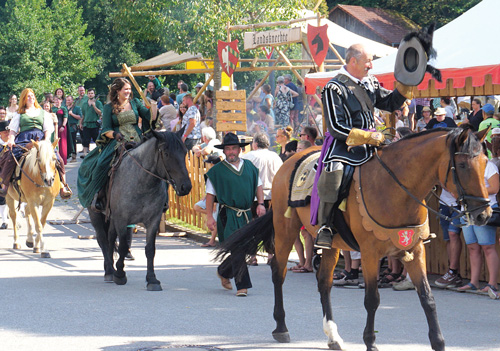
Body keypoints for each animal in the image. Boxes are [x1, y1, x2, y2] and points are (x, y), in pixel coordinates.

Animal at [89, 130, 192, 292]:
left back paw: (110, 268)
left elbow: (150, 249)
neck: (142, 181)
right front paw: (120, 274)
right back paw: (110, 271)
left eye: (185, 152)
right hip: (96, 215)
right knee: (103, 240)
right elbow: (123, 246)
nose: (185, 187)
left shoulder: (153, 220)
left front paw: (152, 279)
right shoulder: (122, 219)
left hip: (111, 218)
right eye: (166, 153)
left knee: (110, 238)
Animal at [220, 127, 492, 351]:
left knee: (324, 282)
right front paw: (370, 342)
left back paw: (333, 336)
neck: (396, 188)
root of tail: (291, 159)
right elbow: (372, 299)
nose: (484, 214)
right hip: (286, 228)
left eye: (485, 162)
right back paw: (281, 327)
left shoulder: (414, 251)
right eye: (463, 165)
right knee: (279, 272)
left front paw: (438, 342)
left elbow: (427, 298)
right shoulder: (371, 253)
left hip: (330, 244)